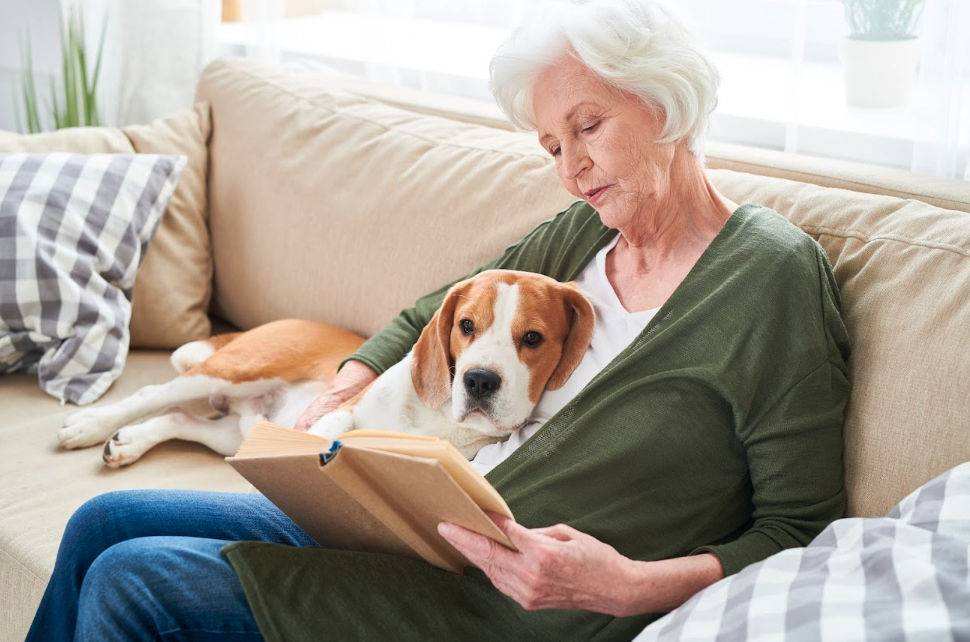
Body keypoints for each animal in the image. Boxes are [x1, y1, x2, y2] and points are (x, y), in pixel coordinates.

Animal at [58, 268, 596, 464]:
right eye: (466, 325)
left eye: (532, 339)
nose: (479, 379)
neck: (435, 418)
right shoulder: (344, 407)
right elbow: (331, 427)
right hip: (237, 368)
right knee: (152, 396)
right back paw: (89, 426)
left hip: (237, 433)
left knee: (176, 418)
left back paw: (129, 443)